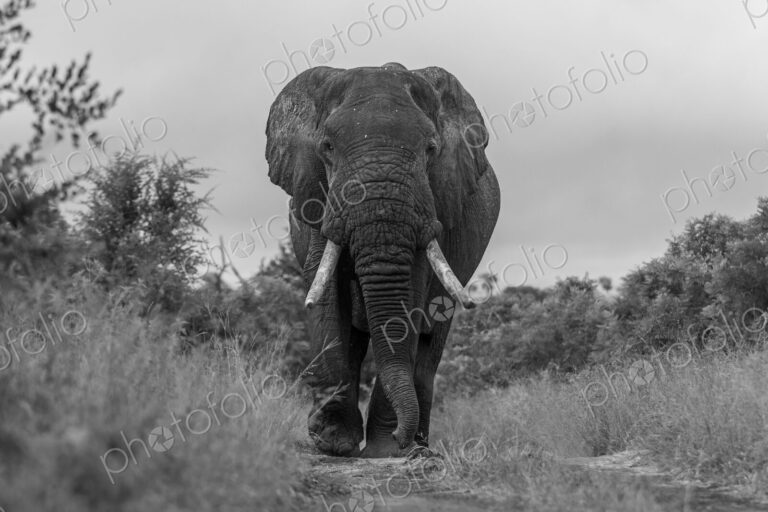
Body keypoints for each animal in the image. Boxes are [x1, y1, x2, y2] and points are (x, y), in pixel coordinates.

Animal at [264, 62, 500, 457]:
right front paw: (332, 442)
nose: (400, 437)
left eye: (431, 148)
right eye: (327, 147)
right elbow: (327, 294)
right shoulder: (318, 195)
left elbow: (413, 296)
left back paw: (418, 442)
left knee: (431, 342)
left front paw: (386, 451)